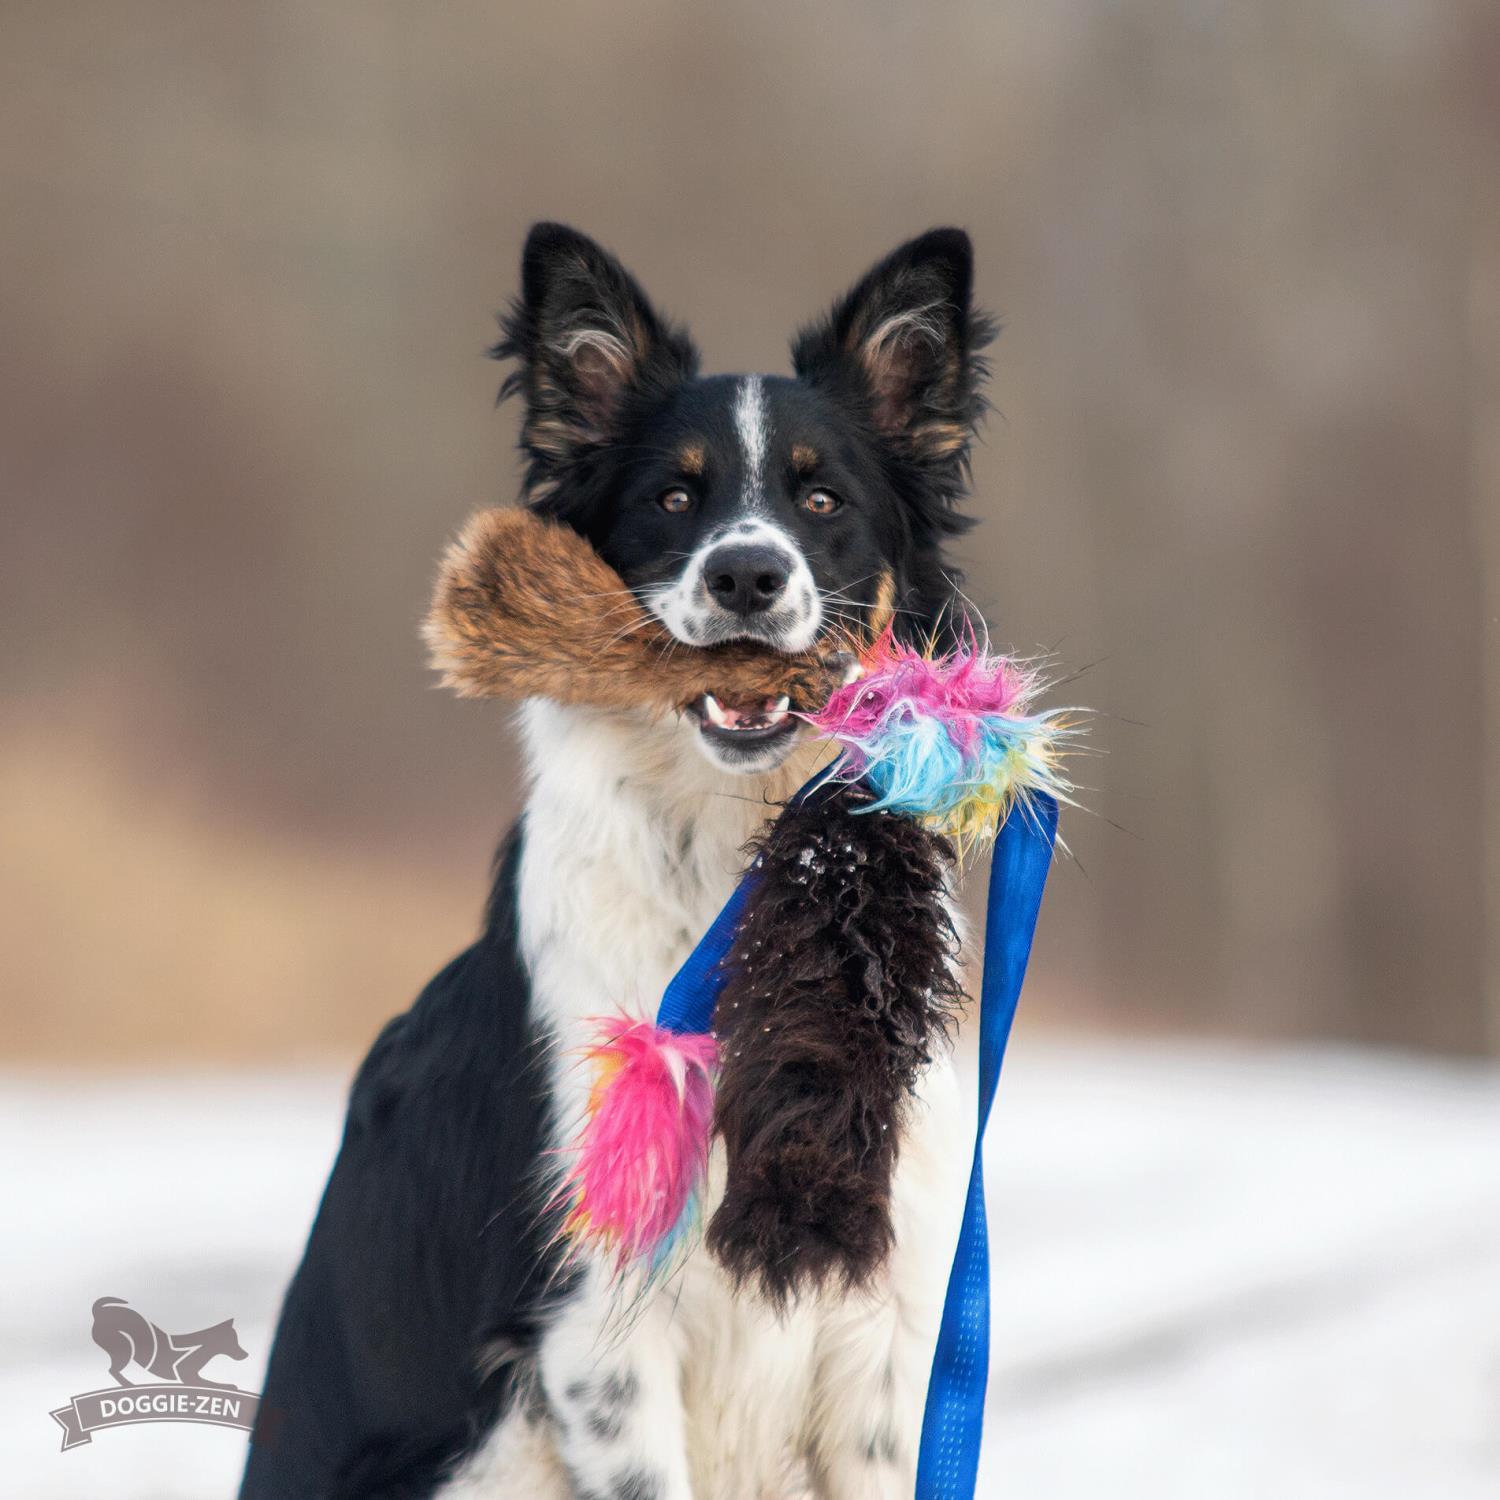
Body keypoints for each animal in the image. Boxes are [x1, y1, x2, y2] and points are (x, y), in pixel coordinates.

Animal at [90, 1296, 247, 1386]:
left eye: (237, 1339)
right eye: (232, 1341)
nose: (246, 1355)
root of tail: (99, 1313)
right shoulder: (186, 1375)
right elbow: (215, 1384)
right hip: (124, 1349)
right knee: (113, 1370)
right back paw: (129, 1384)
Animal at [246, 222, 996, 1500]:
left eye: (823, 497)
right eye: (674, 497)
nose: (746, 575)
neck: (738, 850)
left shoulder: (887, 1322)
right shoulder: (595, 1327)